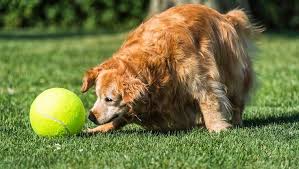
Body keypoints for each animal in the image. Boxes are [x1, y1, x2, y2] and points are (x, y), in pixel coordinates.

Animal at [81, 4, 262, 133]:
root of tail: (225, 16)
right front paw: (97, 130)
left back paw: (235, 121)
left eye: (109, 99)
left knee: (237, 100)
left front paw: (217, 127)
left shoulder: (199, 77)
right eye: (97, 96)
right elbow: (123, 115)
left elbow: (208, 99)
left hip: (234, 74)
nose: (90, 116)